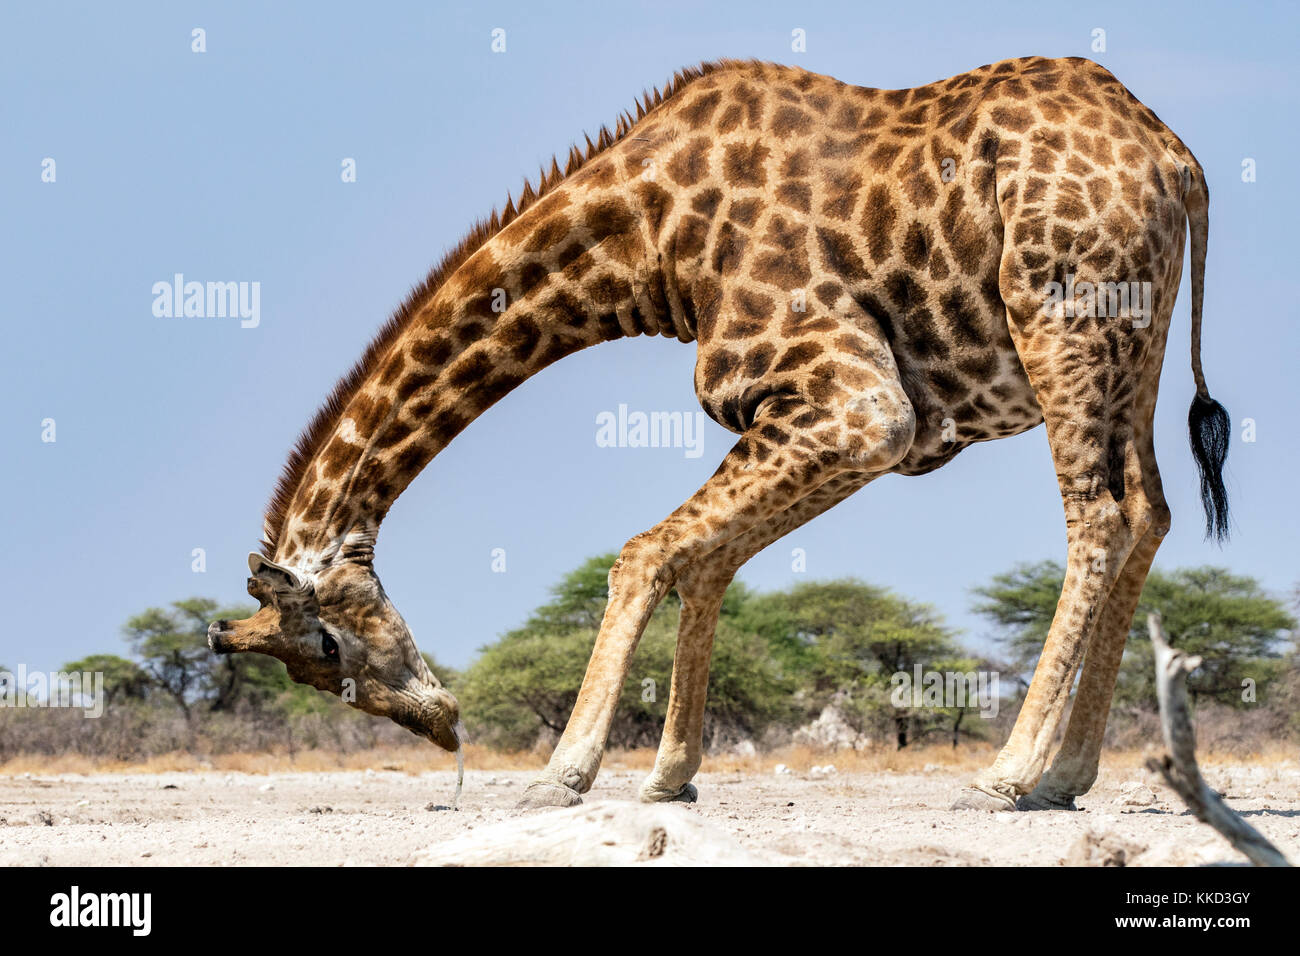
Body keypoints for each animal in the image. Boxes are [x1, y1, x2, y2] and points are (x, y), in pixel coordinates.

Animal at [205, 54, 1227, 816]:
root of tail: (1179, 162)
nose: (446, 722)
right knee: (1149, 511)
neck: (646, 245)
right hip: (1136, 344)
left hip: (1061, 319)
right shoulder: (832, 418)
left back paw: (1007, 777)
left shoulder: (859, 405)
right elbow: (705, 560)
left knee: (1096, 517)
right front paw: (669, 775)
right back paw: (1066, 776)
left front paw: (563, 773)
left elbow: (644, 552)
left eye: (325, 646)